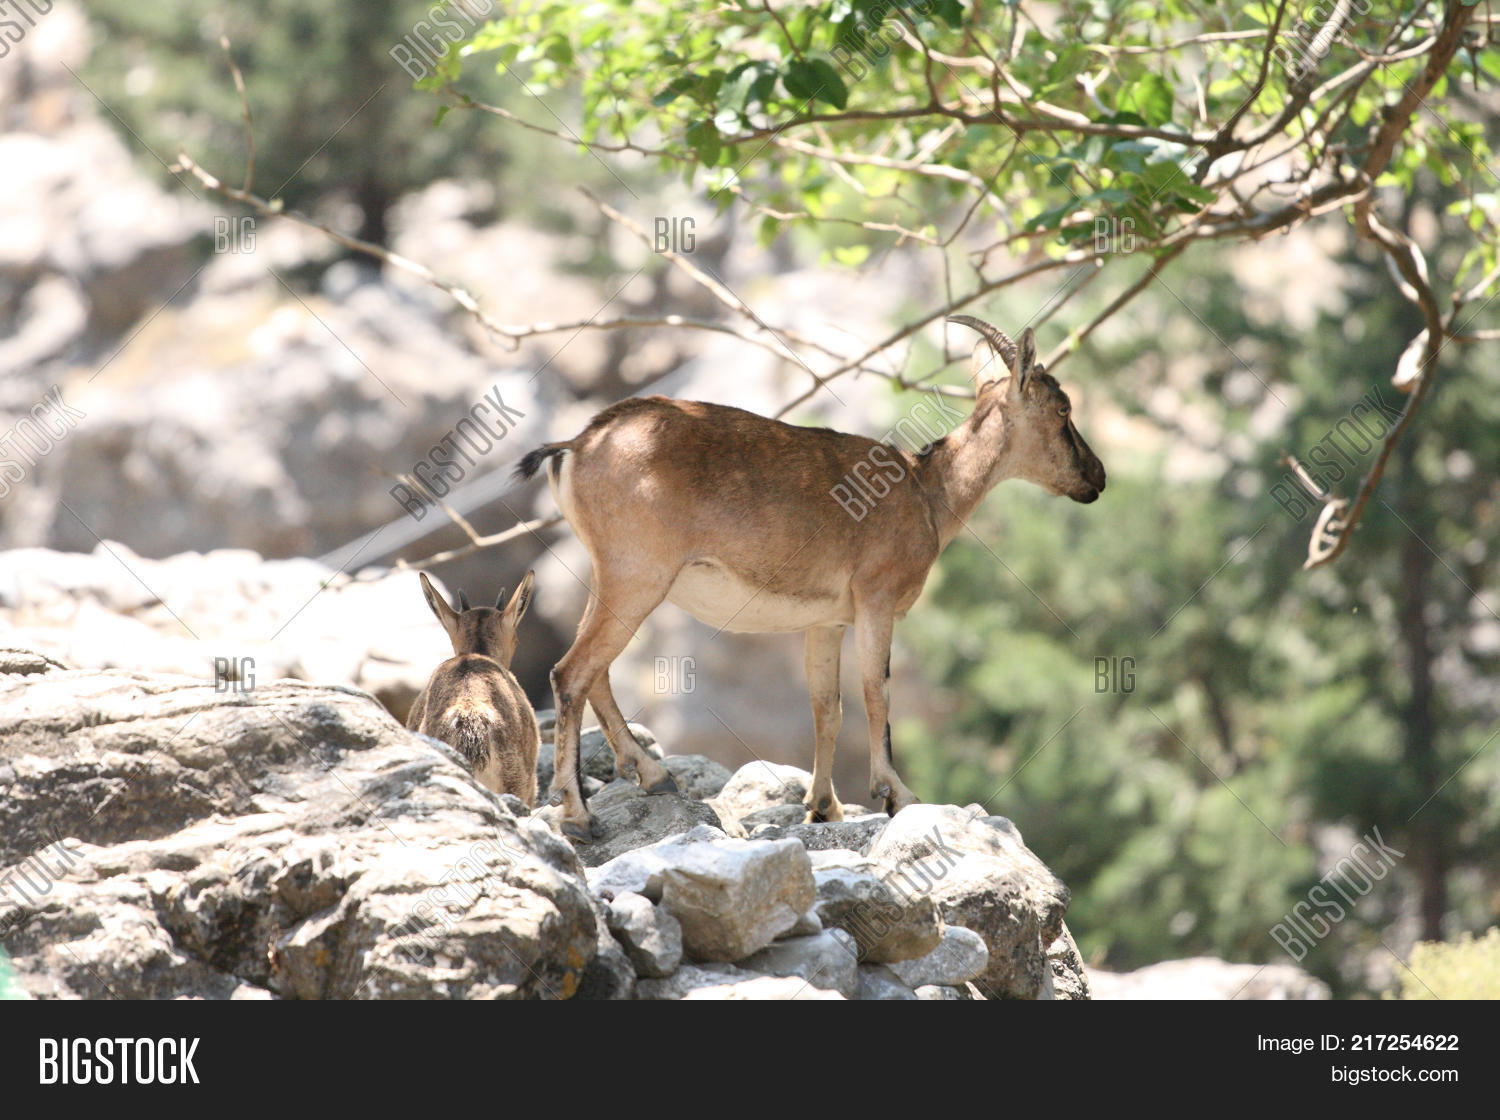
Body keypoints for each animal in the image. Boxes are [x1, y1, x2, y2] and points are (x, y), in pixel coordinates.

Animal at [515, 318, 1105, 840]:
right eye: (1063, 408)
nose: (1096, 477)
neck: (926, 492)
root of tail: (578, 446)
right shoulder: (876, 599)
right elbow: (875, 693)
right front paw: (897, 795)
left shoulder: (827, 622)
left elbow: (828, 708)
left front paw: (823, 807)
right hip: (637, 577)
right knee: (571, 673)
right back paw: (580, 816)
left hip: (611, 578)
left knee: (596, 672)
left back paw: (655, 776)